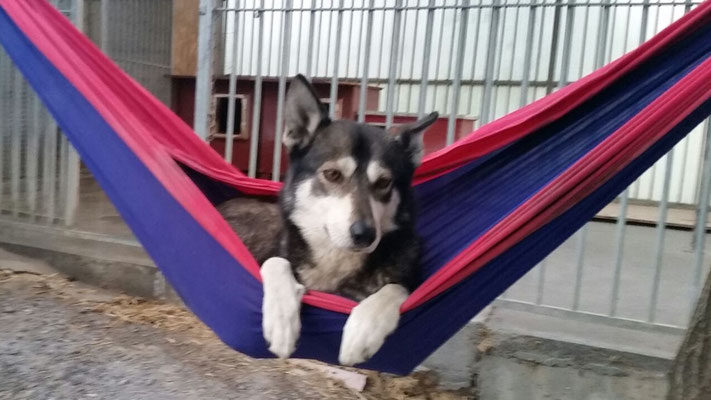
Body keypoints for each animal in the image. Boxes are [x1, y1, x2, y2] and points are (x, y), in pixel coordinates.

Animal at [218, 74, 440, 366]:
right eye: (333, 174)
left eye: (384, 182)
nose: (365, 234)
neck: (334, 262)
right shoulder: (278, 257)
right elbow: (276, 263)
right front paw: (282, 324)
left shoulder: (406, 279)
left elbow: (394, 289)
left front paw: (363, 332)